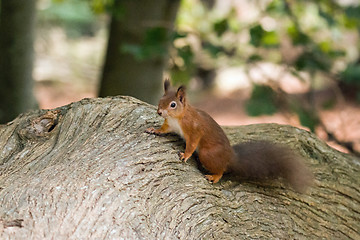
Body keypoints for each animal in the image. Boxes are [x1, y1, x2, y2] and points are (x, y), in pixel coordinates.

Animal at [146, 79, 312, 192]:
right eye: (161, 99)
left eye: (173, 104)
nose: (159, 112)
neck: (177, 118)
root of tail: (231, 158)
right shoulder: (169, 125)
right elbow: (163, 129)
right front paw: (154, 130)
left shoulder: (194, 130)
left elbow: (192, 143)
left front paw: (185, 155)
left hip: (207, 154)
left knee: (221, 170)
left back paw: (214, 176)